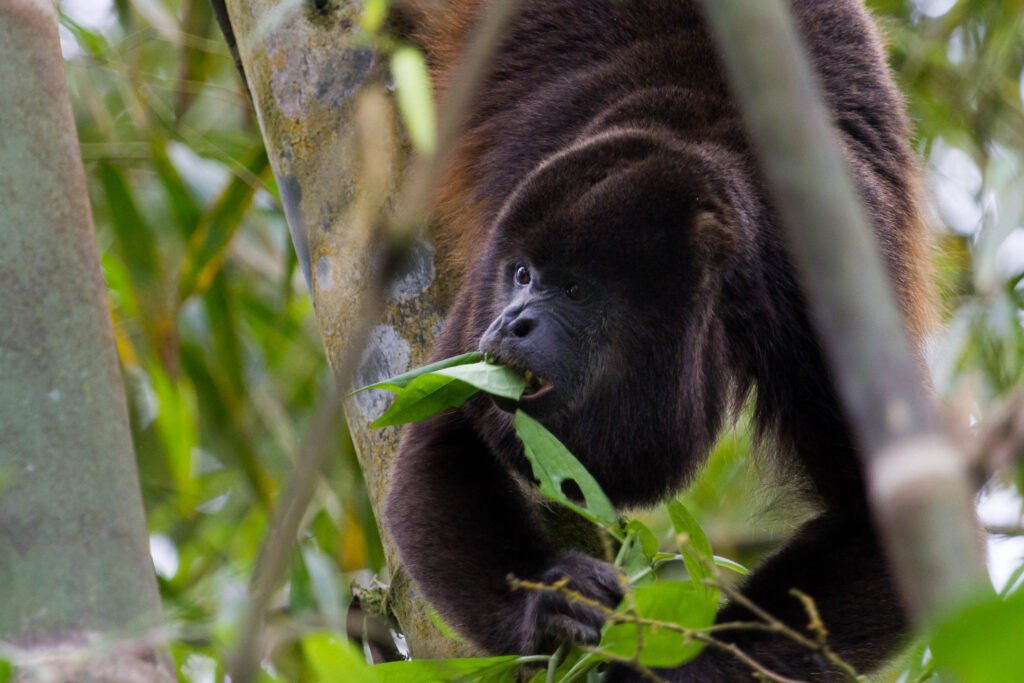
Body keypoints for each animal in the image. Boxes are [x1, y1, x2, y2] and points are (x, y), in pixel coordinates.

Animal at [210, 0, 935, 679]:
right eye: (524, 274)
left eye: (578, 290)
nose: (512, 321)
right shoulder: (494, 257)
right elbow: (444, 433)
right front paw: (546, 601)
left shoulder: (817, 307)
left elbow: (884, 519)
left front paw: (665, 668)